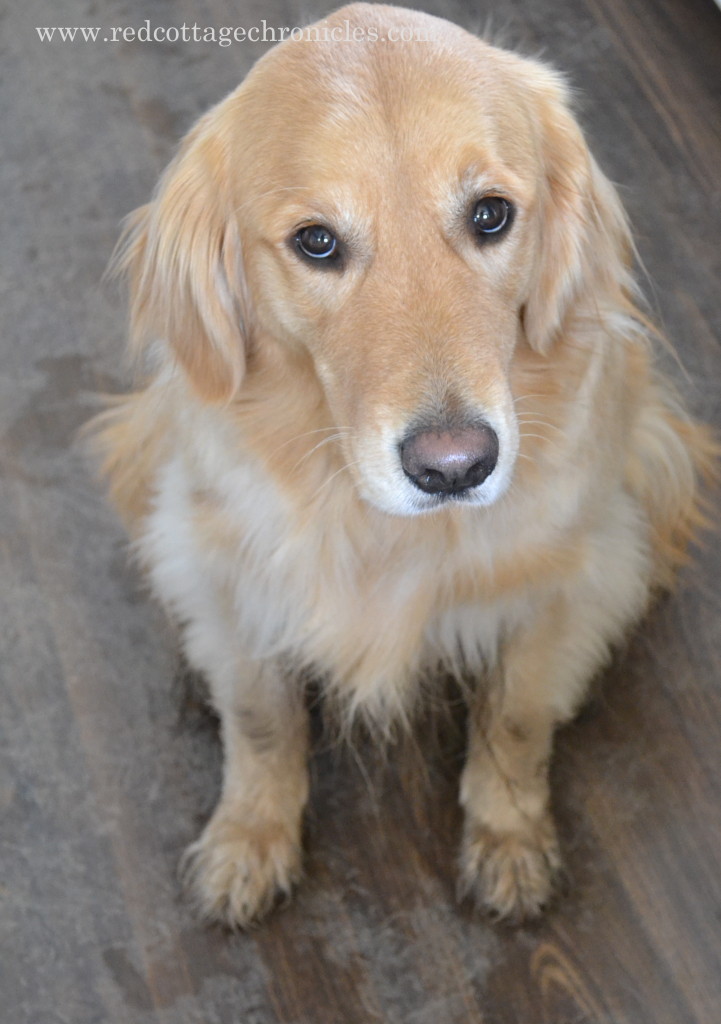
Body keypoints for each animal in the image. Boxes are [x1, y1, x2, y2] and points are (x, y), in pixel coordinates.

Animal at [91, 2, 716, 929]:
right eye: (316, 242)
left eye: (490, 215)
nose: (454, 467)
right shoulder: (225, 572)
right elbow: (261, 719)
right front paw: (249, 836)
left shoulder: (573, 578)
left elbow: (518, 719)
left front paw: (508, 838)